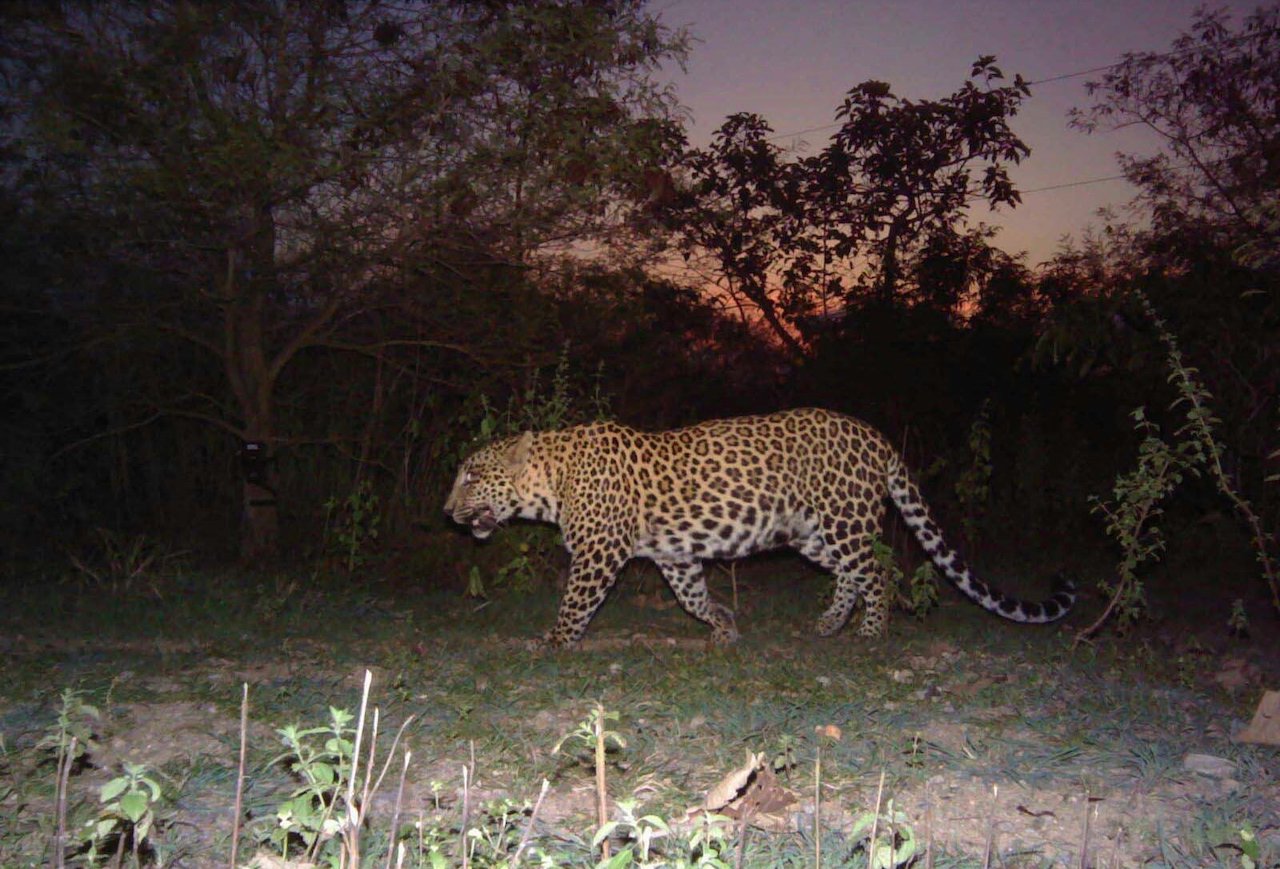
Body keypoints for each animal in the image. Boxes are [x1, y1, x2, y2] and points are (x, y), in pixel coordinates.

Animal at [445, 406, 1075, 645]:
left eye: (471, 477)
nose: (447, 512)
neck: (551, 482)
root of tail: (876, 437)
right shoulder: (675, 555)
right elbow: (692, 597)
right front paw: (724, 625)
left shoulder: (600, 554)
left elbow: (575, 602)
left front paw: (552, 641)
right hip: (812, 534)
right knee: (850, 575)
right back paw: (828, 623)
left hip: (845, 521)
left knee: (878, 571)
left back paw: (871, 633)